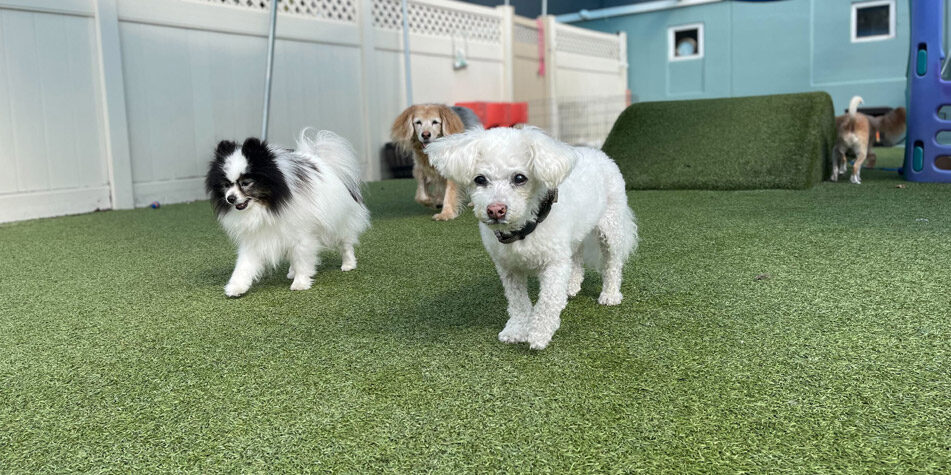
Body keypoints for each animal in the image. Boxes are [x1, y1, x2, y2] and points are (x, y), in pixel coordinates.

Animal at [430, 126, 640, 350]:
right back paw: (572, 286)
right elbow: (518, 303)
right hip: (576, 234)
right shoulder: (509, 269)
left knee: (612, 264)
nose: (496, 210)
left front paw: (539, 333)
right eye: (480, 179)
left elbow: (548, 301)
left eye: (520, 178)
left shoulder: (554, 263)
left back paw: (610, 294)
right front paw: (516, 330)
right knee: (576, 257)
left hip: (611, 229)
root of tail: (598, 153)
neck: (522, 229)